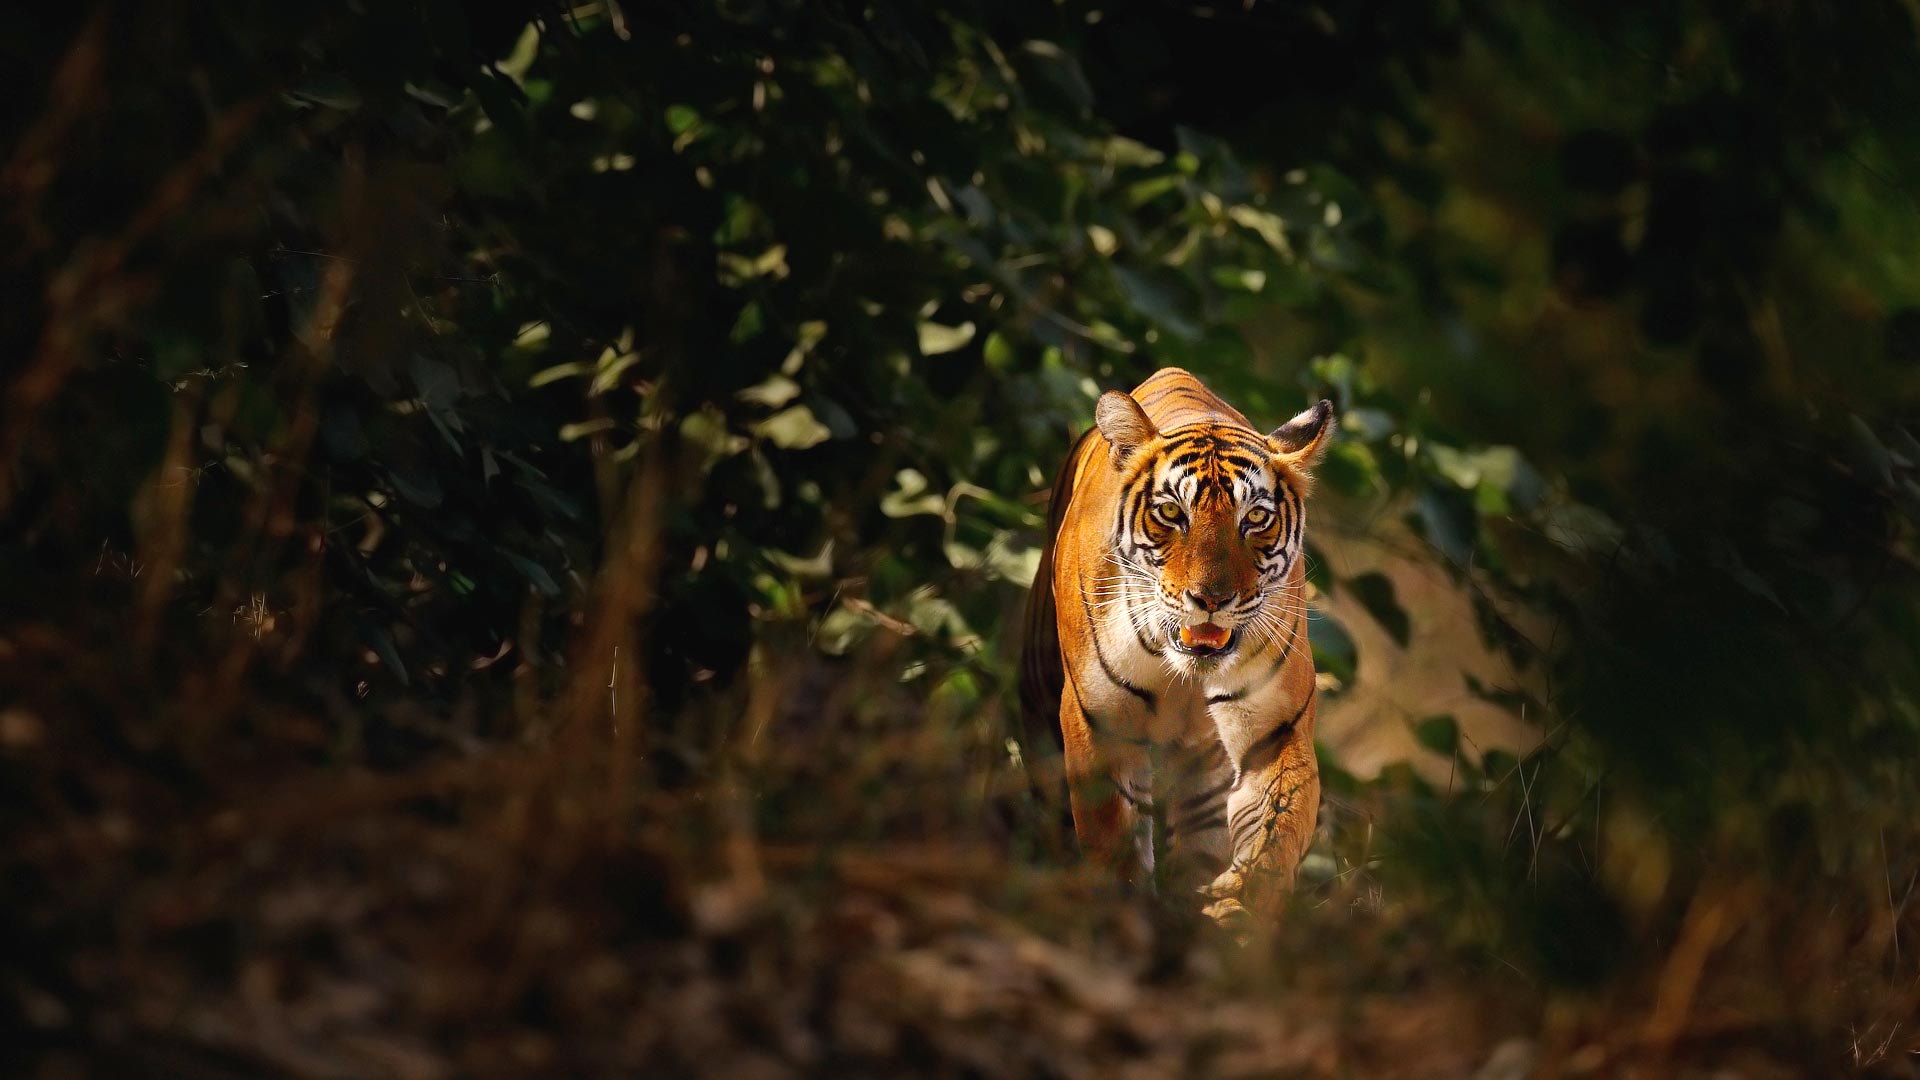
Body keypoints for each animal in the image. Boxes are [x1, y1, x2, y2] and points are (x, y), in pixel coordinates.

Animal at [1019, 367, 1332, 924]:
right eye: (1171, 513)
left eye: (1255, 519)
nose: (1211, 599)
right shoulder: (1100, 720)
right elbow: (1113, 836)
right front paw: (1122, 913)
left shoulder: (1276, 728)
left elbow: (1278, 826)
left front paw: (1240, 903)